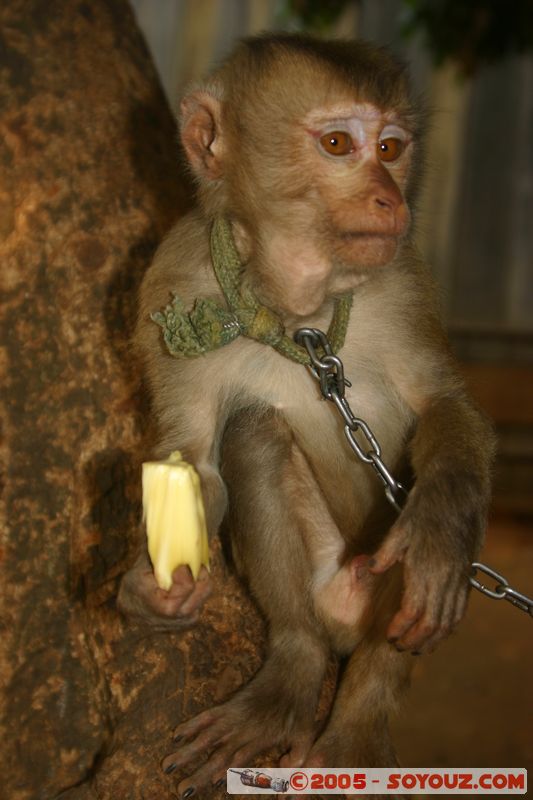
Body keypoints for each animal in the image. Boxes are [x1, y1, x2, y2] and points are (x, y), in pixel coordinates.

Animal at [117, 34, 495, 797]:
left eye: (389, 148)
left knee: (399, 563)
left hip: (377, 581)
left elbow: (446, 406)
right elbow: (193, 462)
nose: (387, 197)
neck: (297, 315)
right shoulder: (172, 283)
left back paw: (358, 718)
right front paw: (148, 588)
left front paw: (439, 535)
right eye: (336, 143)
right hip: (327, 588)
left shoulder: (403, 282)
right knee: (254, 431)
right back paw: (292, 669)